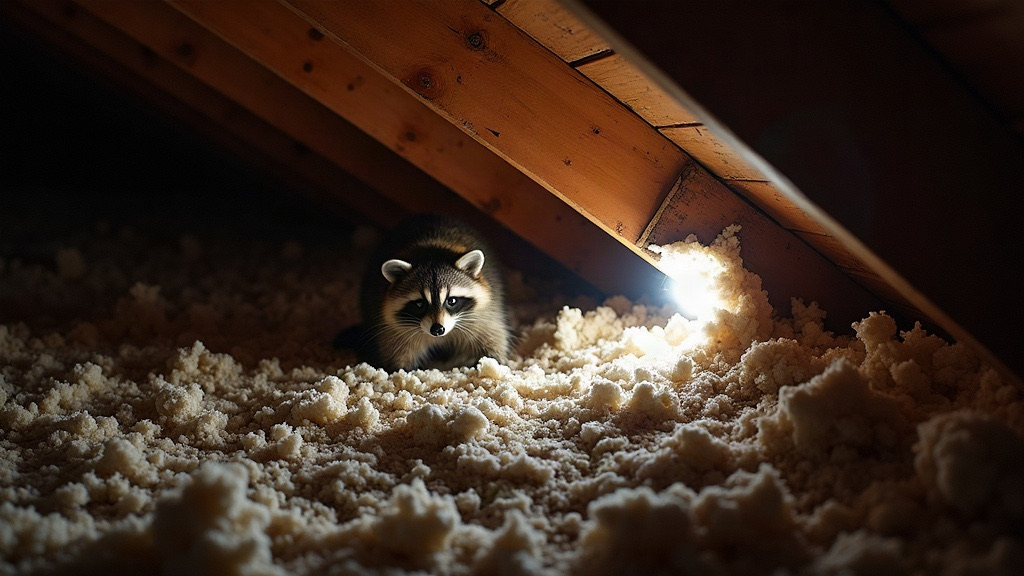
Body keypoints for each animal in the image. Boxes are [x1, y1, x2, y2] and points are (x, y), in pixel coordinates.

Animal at [354, 214, 512, 371]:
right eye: (420, 304)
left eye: (451, 301)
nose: (437, 329)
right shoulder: (393, 326)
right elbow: (396, 347)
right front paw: (400, 370)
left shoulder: (485, 311)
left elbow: (492, 333)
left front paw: (493, 362)